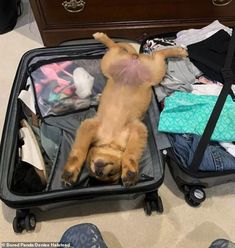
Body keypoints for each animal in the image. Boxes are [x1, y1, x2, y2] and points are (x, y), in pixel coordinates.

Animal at [61, 33, 188, 188]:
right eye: (108, 175)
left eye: (111, 173)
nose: (99, 172)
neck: (111, 140)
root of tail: (134, 57)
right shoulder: (89, 127)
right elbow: (79, 152)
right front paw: (70, 173)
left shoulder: (137, 129)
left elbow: (131, 152)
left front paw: (129, 172)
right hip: (111, 64)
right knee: (121, 48)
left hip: (154, 71)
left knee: (152, 52)